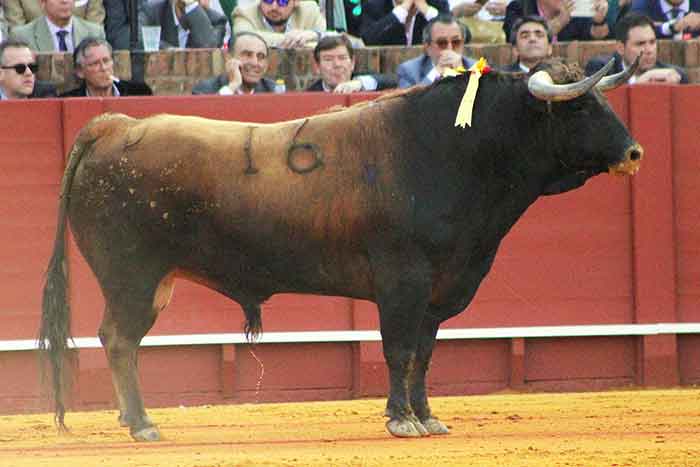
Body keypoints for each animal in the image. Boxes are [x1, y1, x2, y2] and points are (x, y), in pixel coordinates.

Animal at [42, 58, 644, 442]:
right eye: (580, 108)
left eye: (603, 98)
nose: (634, 152)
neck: (454, 151)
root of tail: (113, 124)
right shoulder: (403, 281)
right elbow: (398, 351)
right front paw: (400, 421)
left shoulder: (437, 290)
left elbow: (424, 355)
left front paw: (428, 418)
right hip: (133, 276)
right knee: (120, 340)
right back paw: (144, 424)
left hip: (151, 282)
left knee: (119, 341)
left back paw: (130, 419)